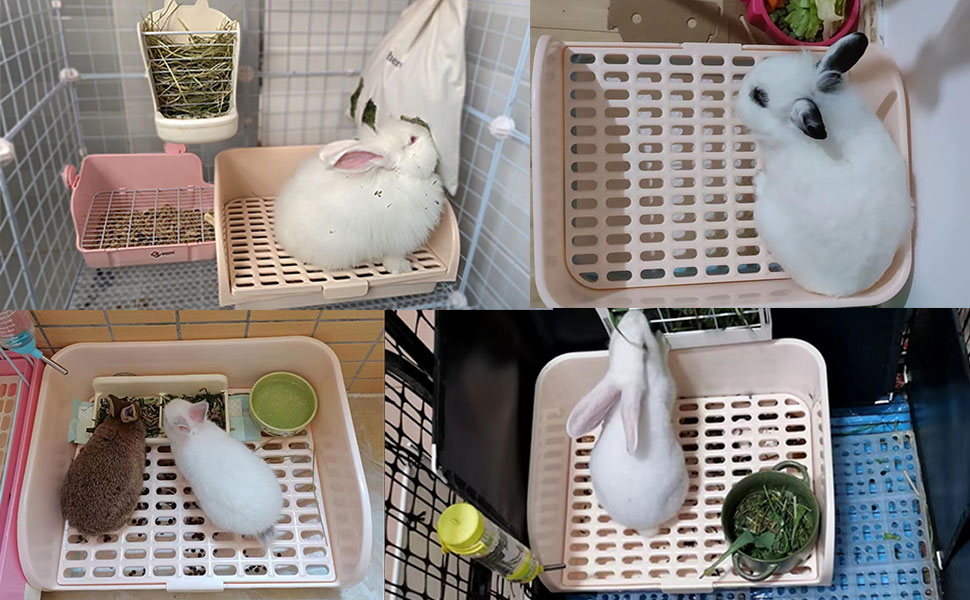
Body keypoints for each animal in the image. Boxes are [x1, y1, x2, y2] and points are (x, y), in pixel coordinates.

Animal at [273, 118, 445, 275]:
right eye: (412, 140)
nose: (425, 128)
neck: (397, 174)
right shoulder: (399, 236)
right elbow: (393, 256)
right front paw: (401, 268)